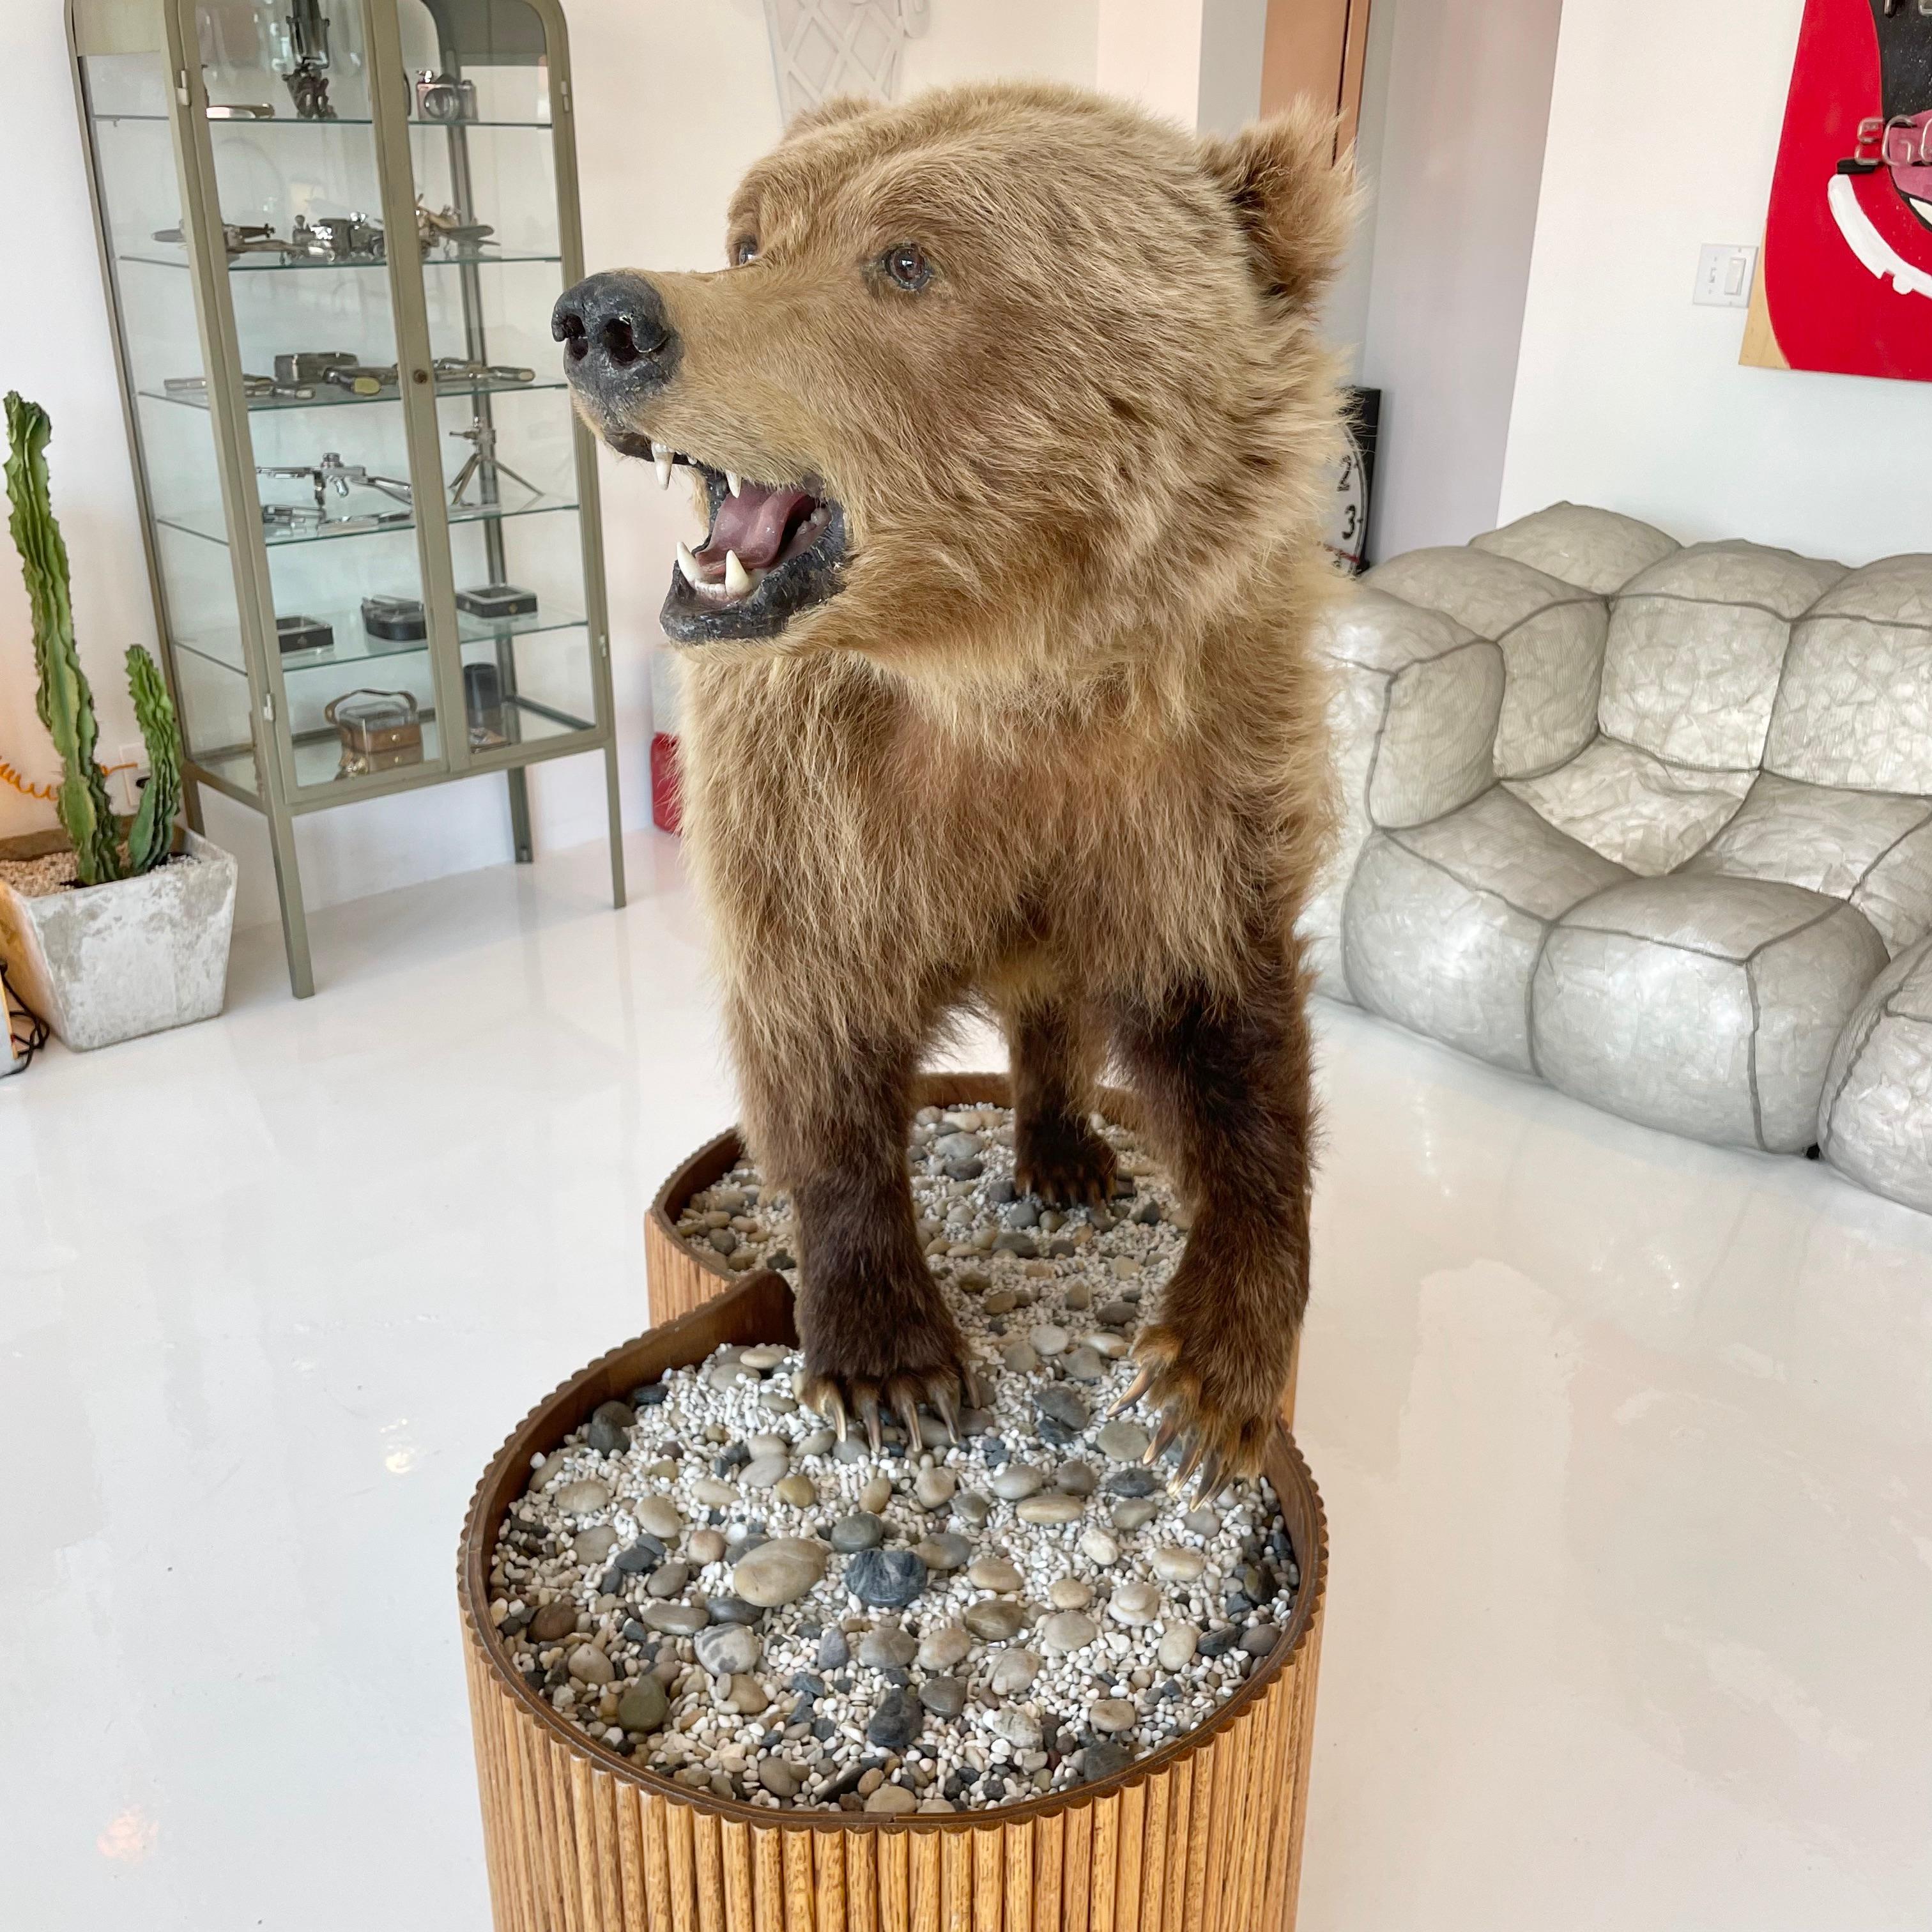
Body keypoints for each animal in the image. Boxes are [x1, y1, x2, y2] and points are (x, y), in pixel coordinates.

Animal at [552, 83, 1352, 1499]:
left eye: (906, 260)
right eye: (752, 237)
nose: (608, 318)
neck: (998, 674)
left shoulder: (1191, 777)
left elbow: (1231, 1028)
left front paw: (1206, 1380)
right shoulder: (812, 799)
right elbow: (813, 1028)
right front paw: (889, 1361)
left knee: (1054, 1006)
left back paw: (1066, 1150)